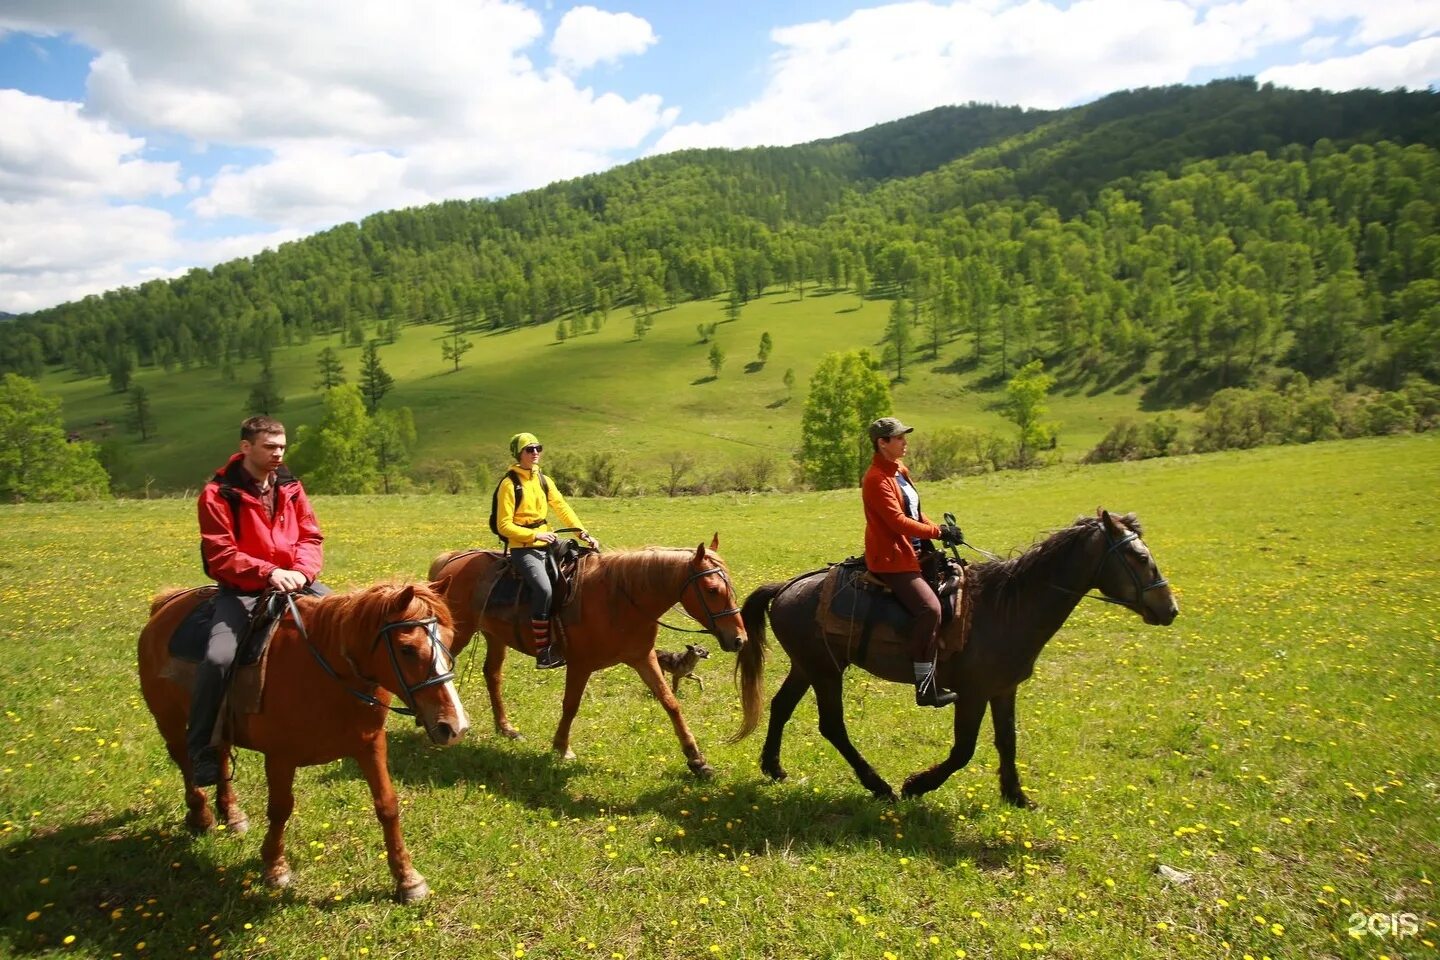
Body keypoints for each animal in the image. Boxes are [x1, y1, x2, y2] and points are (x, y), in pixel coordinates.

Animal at [138, 581, 469, 903]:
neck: (329, 672)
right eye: (407, 648)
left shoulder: (371, 745)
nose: (454, 726)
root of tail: (167, 602)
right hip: (169, 720)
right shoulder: (279, 757)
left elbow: (387, 806)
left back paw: (231, 814)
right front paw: (275, 867)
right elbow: (280, 808)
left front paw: (407, 879)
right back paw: (201, 815)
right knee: (184, 760)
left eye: (450, 639)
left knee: (219, 754)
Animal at [423, 541, 743, 782]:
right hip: (459, 634)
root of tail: (452, 560)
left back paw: (506, 728)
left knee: (492, 675)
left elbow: (670, 703)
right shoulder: (580, 665)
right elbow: (571, 706)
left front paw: (697, 759)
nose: (739, 639)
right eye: (713, 589)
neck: (621, 598)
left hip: (494, 636)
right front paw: (561, 747)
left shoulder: (643, 658)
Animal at [737, 515, 1175, 805]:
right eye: (1138, 557)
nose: (1169, 608)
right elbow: (964, 750)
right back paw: (878, 785)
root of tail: (787, 587)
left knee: (781, 707)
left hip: (808, 667)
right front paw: (917, 785)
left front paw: (1016, 795)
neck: (1007, 607)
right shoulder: (973, 693)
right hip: (826, 671)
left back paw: (774, 767)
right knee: (832, 726)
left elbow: (1007, 741)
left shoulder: (1003, 689)